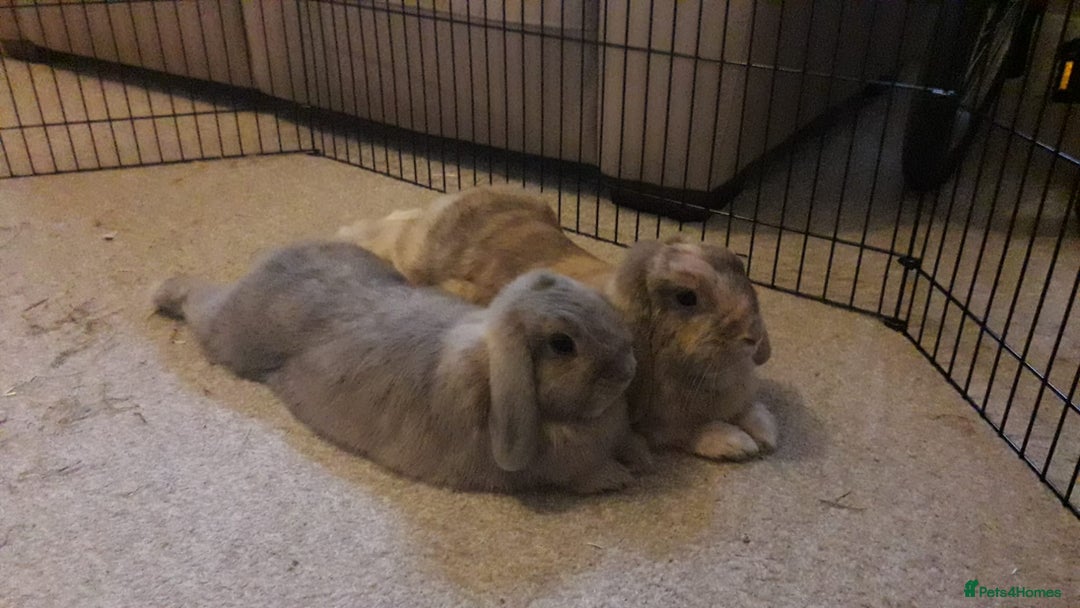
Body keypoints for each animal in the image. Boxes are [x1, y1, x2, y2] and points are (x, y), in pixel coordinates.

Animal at [151, 241, 651, 494]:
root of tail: (271, 260)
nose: (629, 368)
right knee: (199, 302)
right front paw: (620, 476)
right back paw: (164, 292)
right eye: (562, 344)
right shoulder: (555, 469)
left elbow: (628, 441)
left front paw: (639, 454)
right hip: (231, 336)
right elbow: (583, 475)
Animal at [336, 187, 776, 461]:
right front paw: (737, 443)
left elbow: (750, 408)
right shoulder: (656, 423)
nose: (753, 337)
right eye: (687, 298)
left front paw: (767, 432)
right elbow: (686, 431)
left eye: (740, 268)